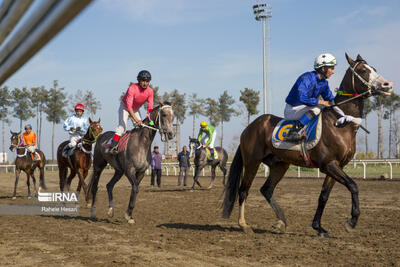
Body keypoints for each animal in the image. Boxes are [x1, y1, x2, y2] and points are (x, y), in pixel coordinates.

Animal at [222, 53, 394, 238]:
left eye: (374, 69)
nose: (388, 85)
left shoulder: (336, 166)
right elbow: (353, 186)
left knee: (266, 189)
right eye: (363, 70)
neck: (341, 123)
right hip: (252, 162)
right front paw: (351, 222)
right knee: (243, 190)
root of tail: (250, 127)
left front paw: (318, 227)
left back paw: (281, 221)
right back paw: (244, 224)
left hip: (280, 164)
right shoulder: (328, 164)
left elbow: (324, 196)